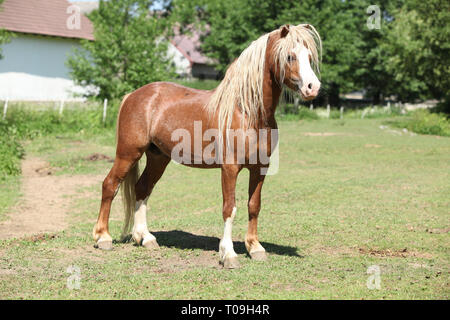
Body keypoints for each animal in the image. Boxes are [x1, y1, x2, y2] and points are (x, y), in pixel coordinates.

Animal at [92, 23, 320, 268]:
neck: (248, 112)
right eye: (290, 56)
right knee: (110, 185)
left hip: (158, 157)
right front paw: (228, 254)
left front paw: (255, 247)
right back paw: (103, 238)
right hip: (128, 153)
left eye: (309, 56)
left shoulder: (260, 168)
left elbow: (254, 205)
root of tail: (133, 95)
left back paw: (145, 238)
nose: (313, 87)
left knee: (142, 188)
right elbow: (229, 208)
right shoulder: (230, 168)